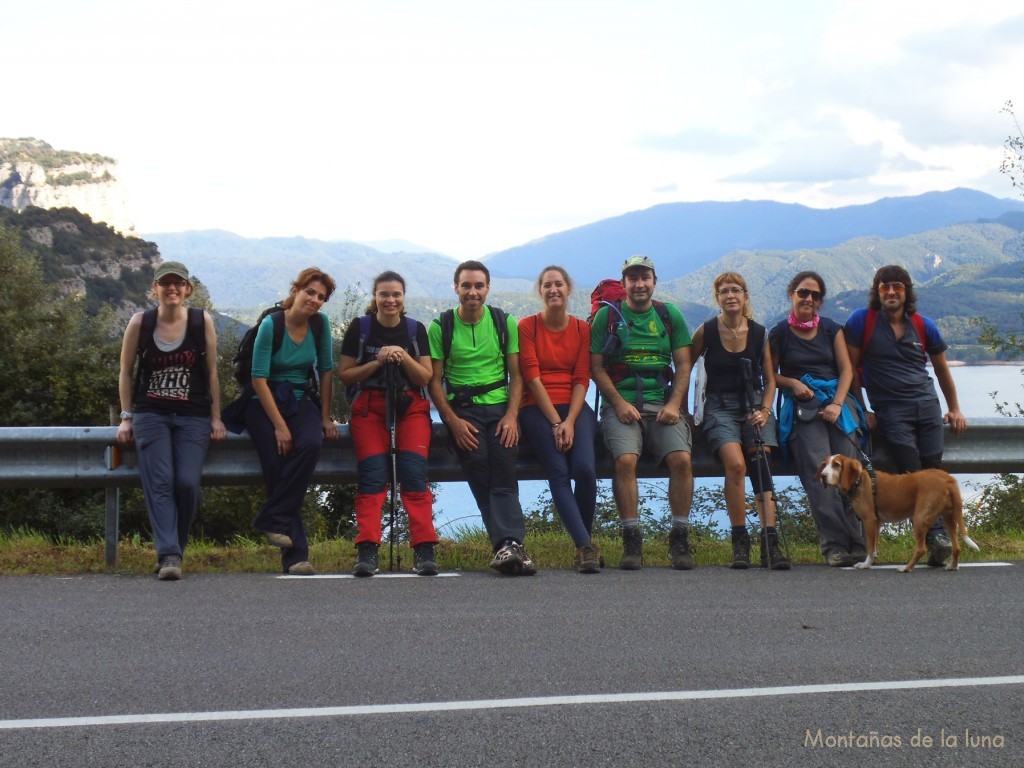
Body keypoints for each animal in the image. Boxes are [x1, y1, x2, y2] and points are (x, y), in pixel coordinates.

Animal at [811, 456, 978, 573]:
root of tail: (948, 479)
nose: (823, 476)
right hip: (950, 518)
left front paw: (865, 564)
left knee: (921, 549)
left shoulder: (869, 520)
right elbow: (875, 547)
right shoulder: (877, 522)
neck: (859, 481)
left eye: (836, 465)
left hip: (920, 517)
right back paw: (952, 566)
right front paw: (870, 563)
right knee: (956, 547)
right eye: (824, 464)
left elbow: (870, 548)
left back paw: (906, 568)